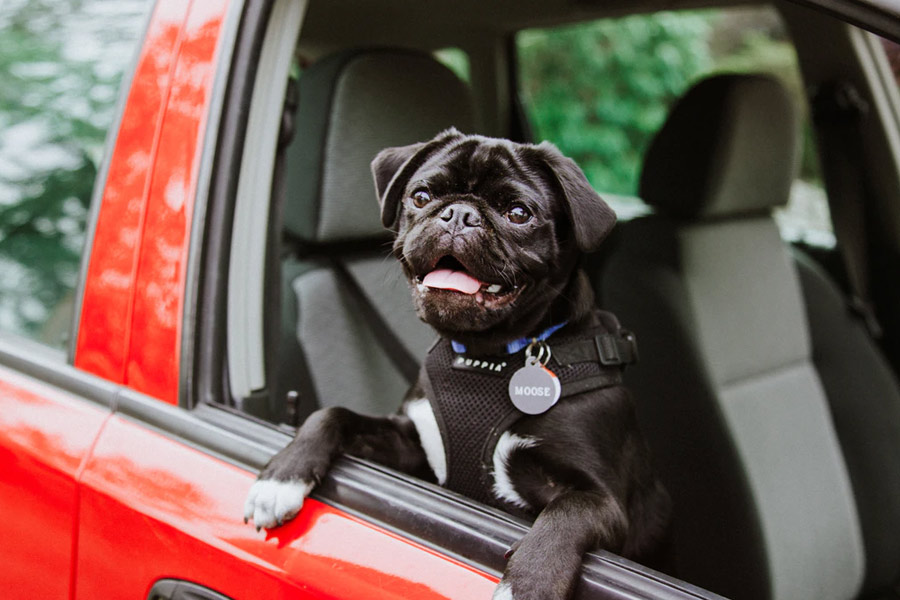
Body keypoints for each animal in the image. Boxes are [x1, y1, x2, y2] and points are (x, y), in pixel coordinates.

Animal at [244, 129, 668, 596]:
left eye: (518, 213)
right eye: (421, 196)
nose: (459, 214)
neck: (487, 356)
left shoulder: (603, 499)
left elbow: (565, 514)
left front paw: (527, 585)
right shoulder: (412, 446)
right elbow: (331, 415)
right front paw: (282, 476)